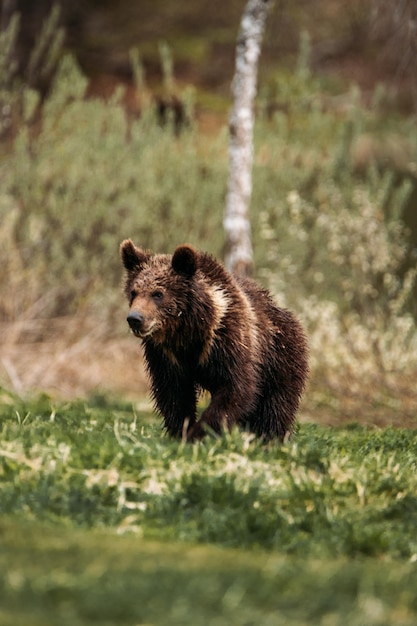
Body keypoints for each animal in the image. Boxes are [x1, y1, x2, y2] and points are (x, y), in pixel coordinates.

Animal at [118, 239, 308, 438]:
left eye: (158, 294)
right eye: (134, 292)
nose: (135, 319)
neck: (188, 332)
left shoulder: (227, 340)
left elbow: (235, 388)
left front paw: (198, 432)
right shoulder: (165, 354)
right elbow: (173, 394)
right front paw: (180, 431)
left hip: (280, 359)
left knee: (275, 407)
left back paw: (270, 436)